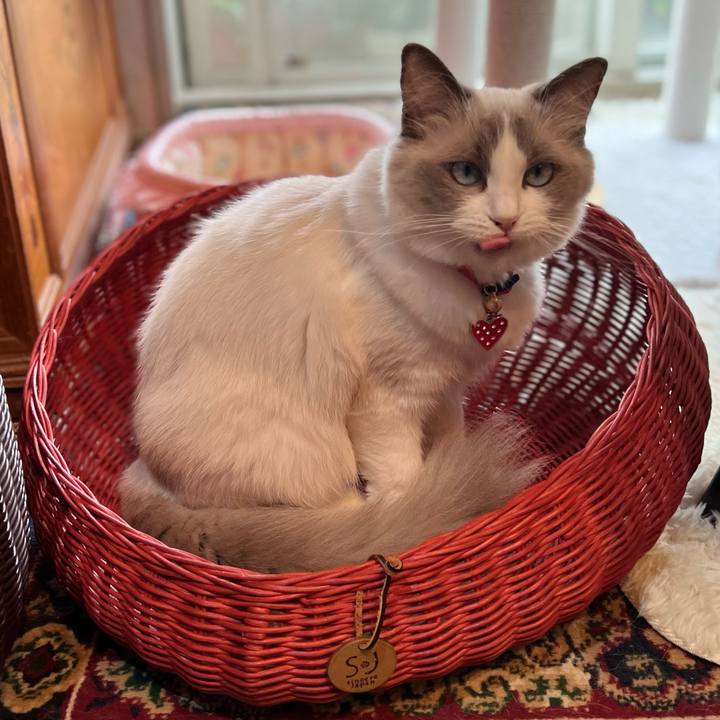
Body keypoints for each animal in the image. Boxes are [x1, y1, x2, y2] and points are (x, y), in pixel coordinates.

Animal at [119, 44, 606, 573]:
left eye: (538, 175)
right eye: (466, 174)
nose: (506, 220)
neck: (481, 289)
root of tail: (148, 476)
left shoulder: (445, 390)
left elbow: (452, 445)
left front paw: (453, 471)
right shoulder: (390, 402)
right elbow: (405, 486)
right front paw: (428, 518)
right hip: (312, 463)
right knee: (347, 514)